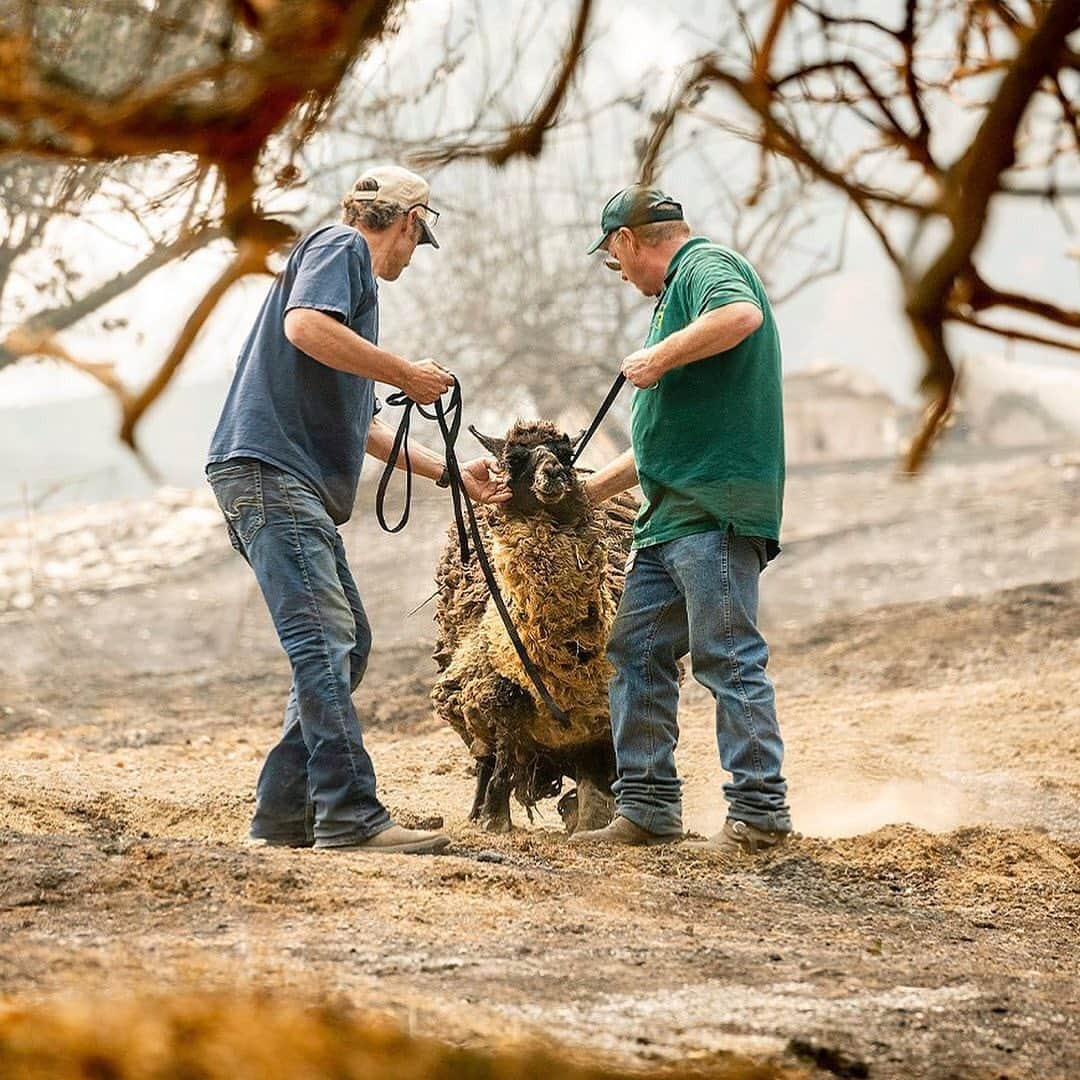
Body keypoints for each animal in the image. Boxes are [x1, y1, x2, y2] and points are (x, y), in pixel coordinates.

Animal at [429, 421, 635, 833]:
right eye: (513, 460)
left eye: (566, 454)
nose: (553, 472)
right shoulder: (493, 695)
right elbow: (503, 761)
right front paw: (494, 821)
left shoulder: (601, 716)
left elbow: (597, 780)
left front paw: (589, 822)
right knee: (485, 759)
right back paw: (477, 812)